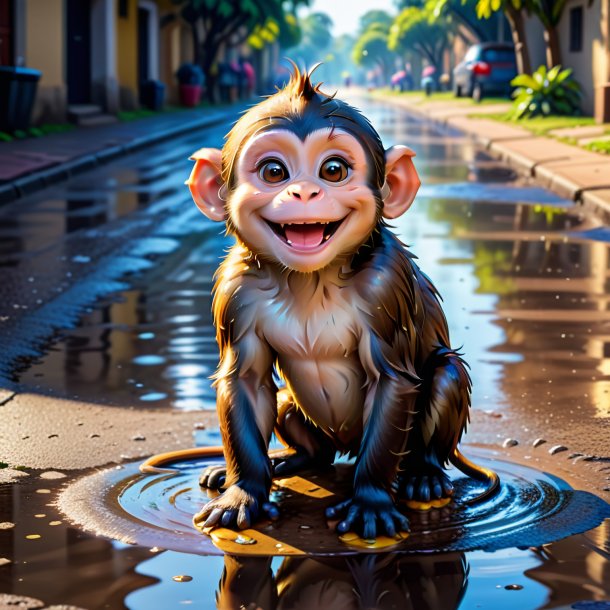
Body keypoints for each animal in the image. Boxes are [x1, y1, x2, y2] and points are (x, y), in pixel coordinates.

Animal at [184, 65, 494, 536]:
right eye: (273, 172)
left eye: (333, 170)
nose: (304, 193)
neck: (311, 281)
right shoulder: (235, 291)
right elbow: (247, 380)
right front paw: (243, 492)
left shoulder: (386, 284)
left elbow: (393, 380)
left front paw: (370, 503)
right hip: (315, 428)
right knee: (299, 422)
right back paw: (290, 460)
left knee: (447, 373)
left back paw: (423, 472)